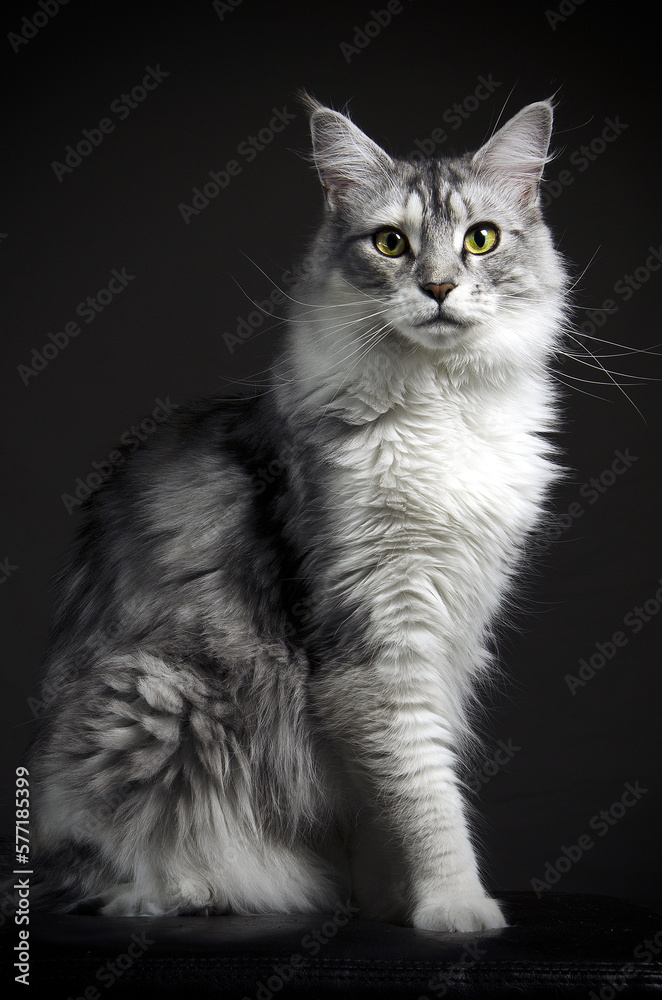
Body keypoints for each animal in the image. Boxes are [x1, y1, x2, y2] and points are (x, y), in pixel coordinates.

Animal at [26, 90, 568, 932]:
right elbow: (425, 793)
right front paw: (454, 904)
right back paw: (197, 887)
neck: (442, 407)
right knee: (110, 868)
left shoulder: (449, 632)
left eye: (480, 239)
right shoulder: (377, 640)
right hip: (153, 695)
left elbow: (394, 803)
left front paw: (393, 902)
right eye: (390, 244)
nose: (440, 287)